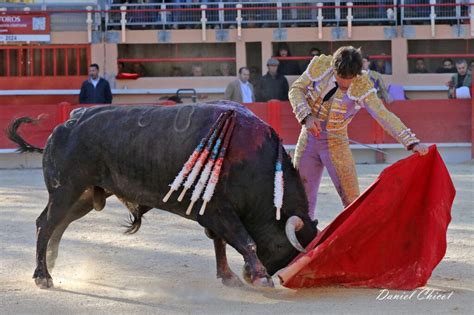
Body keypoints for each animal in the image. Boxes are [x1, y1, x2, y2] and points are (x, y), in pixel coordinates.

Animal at [7, 102, 316, 292]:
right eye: (283, 246)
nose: (249, 276)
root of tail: (68, 122)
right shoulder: (219, 211)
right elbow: (245, 240)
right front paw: (261, 278)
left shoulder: (211, 213)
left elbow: (220, 243)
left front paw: (229, 277)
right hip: (65, 190)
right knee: (45, 224)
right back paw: (43, 276)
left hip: (82, 196)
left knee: (56, 226)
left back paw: (50, 261)